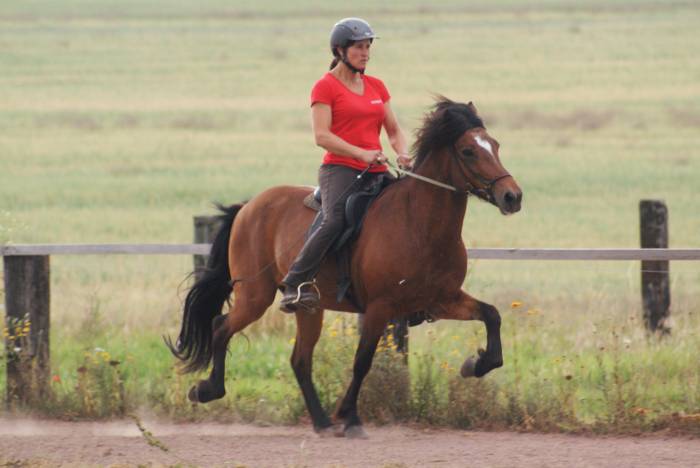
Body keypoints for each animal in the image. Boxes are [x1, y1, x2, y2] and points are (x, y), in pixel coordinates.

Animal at [167, 97, 524, 436]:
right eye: (468, 151)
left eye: (495, 145)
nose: (512, 197)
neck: (419, 223)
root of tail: (248, 206)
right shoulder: (380, 307)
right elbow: (362, 362)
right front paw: (350, 417)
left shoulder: (441, 299)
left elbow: (492, 315)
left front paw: (475, 364)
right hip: (255, 295)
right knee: (221, 326)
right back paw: (207, 390)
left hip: (310, 308)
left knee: (299, 360)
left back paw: (321, 421)